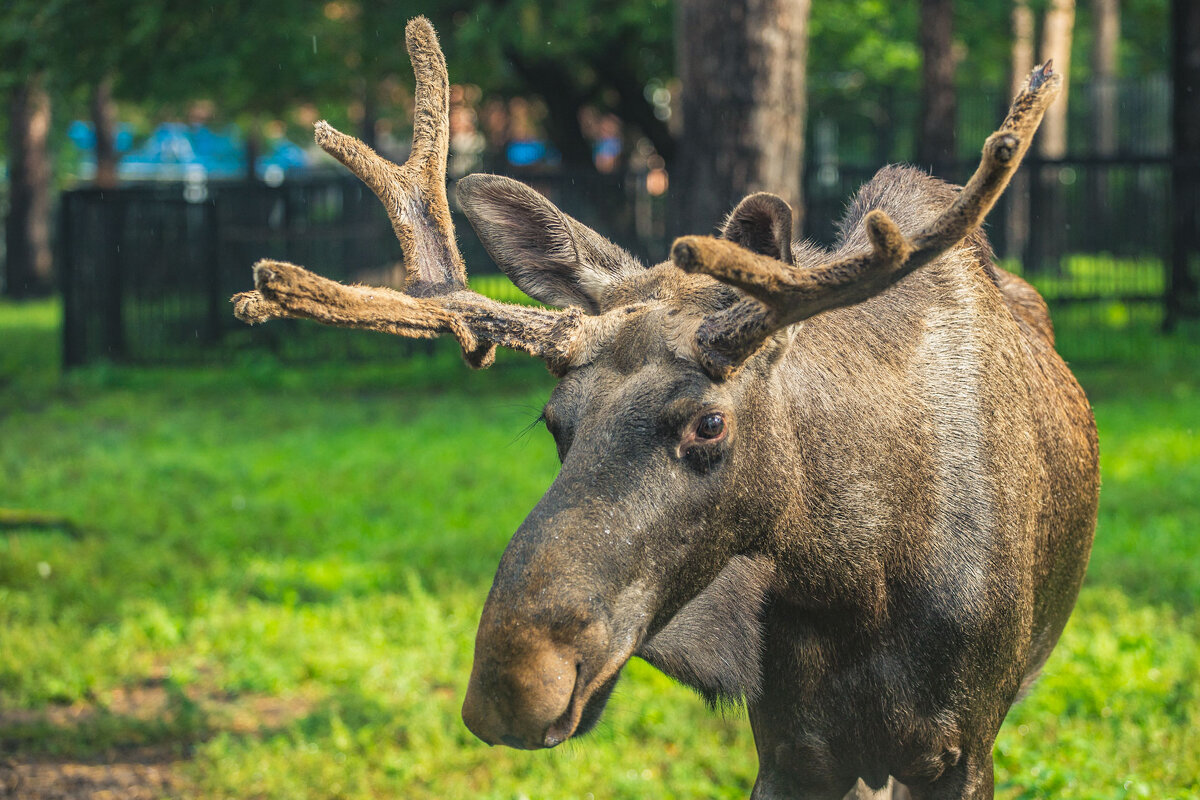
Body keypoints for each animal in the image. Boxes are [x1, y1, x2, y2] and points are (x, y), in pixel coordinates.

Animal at [231, 18, 1099, 800]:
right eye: (555, 422)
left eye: (709, 423)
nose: (513, 686)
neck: (855, 578)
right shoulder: (794, 747)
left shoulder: (962, 745)